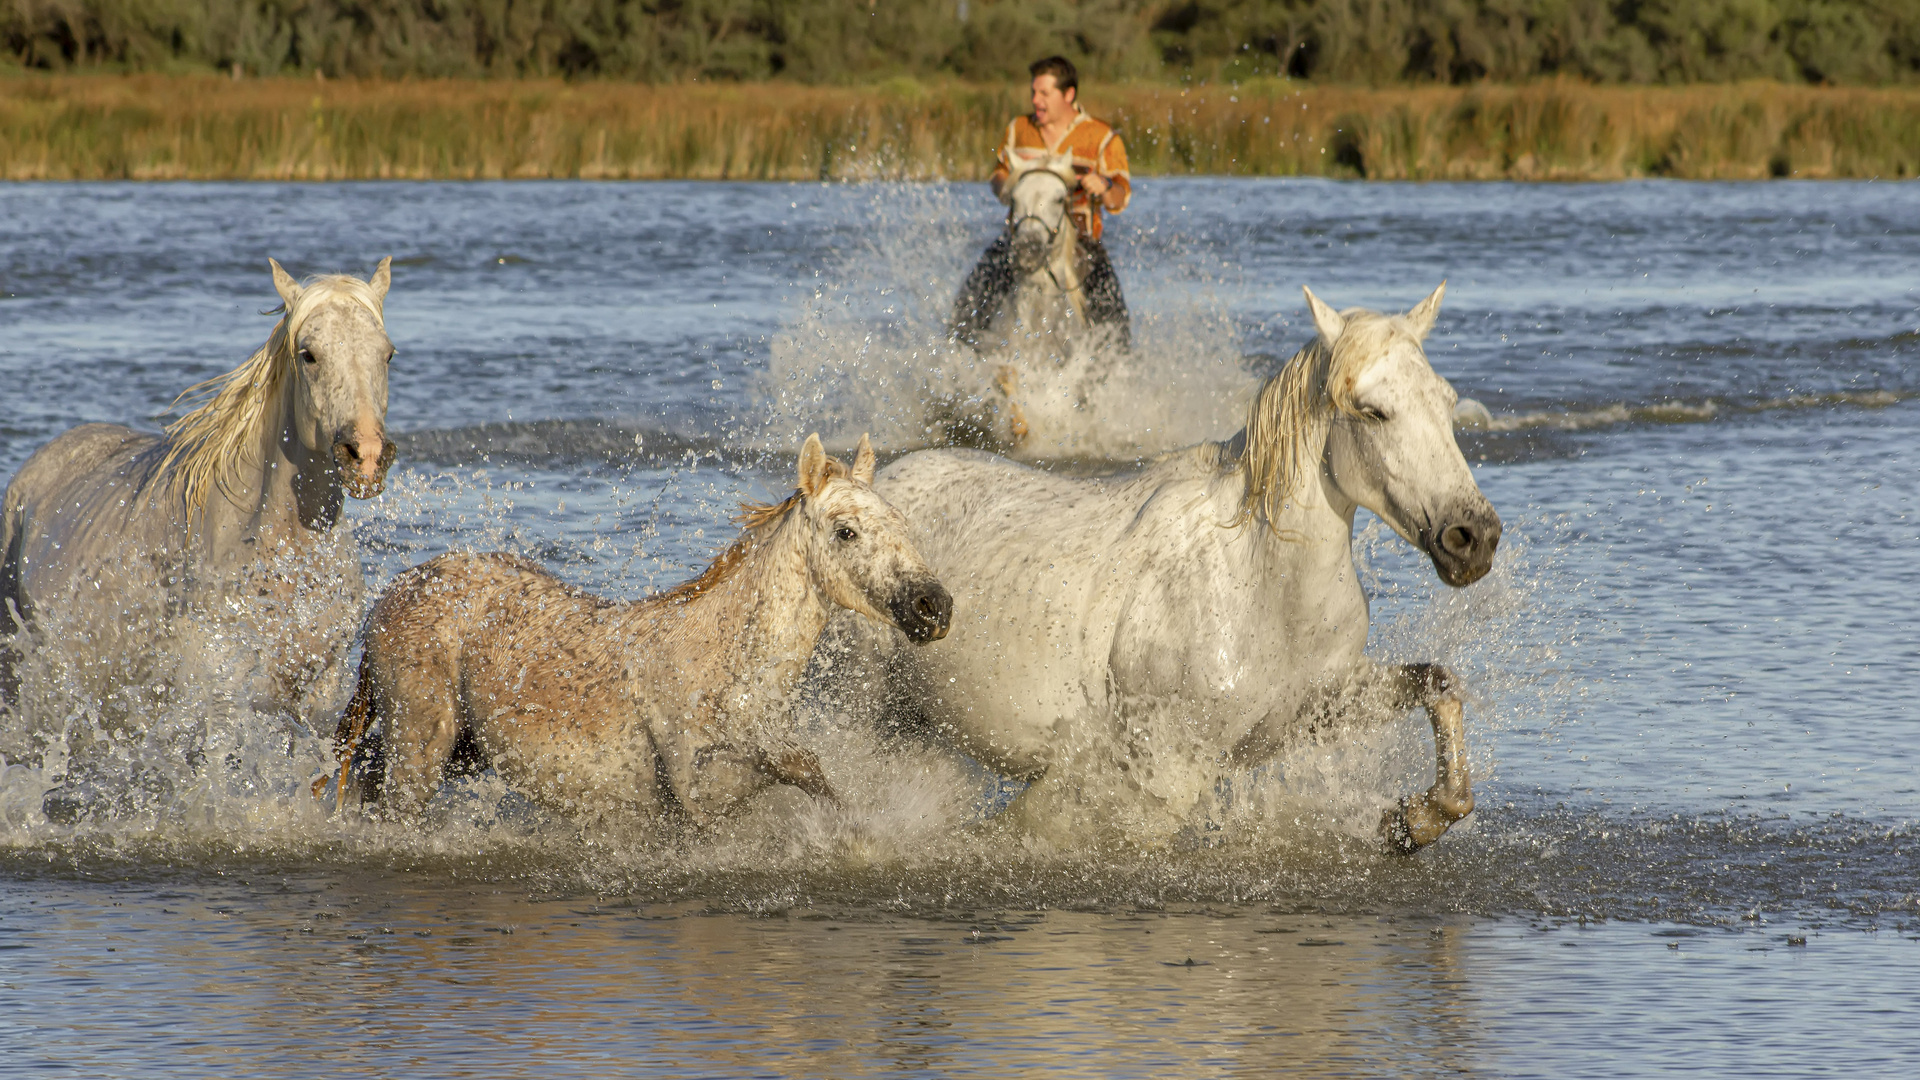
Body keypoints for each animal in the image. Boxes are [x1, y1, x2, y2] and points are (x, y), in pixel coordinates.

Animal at [852, 282, 1497, 845]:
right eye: (1372, 411)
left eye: (1445, 401)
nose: (1472, 536)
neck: (1262, 587)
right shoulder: (1164, 768)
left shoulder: (1313, 709)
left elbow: (1439, 685)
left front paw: (1414, 821)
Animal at [940, 146, 1121, 453]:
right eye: (1014, 198)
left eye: (1060, 198)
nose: (1027, 250)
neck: (1040, 313)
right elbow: (1006, 376)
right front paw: (1019, 427)